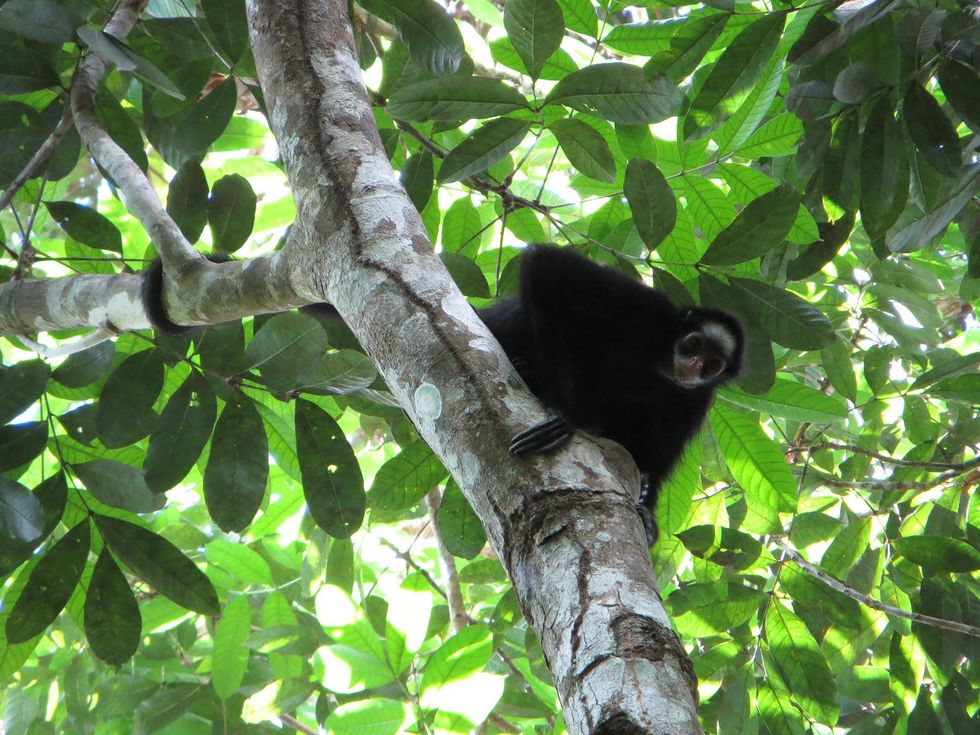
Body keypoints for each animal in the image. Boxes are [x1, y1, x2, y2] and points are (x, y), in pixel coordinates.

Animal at [478, 245, 744, 545]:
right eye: (695, 343)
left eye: (712, 365)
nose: (694, 365)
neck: (660, 367)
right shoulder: (650, 308)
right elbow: (547, 263)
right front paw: (559, 410)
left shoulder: (697, 399)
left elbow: (652, 459)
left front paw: (647, 510)